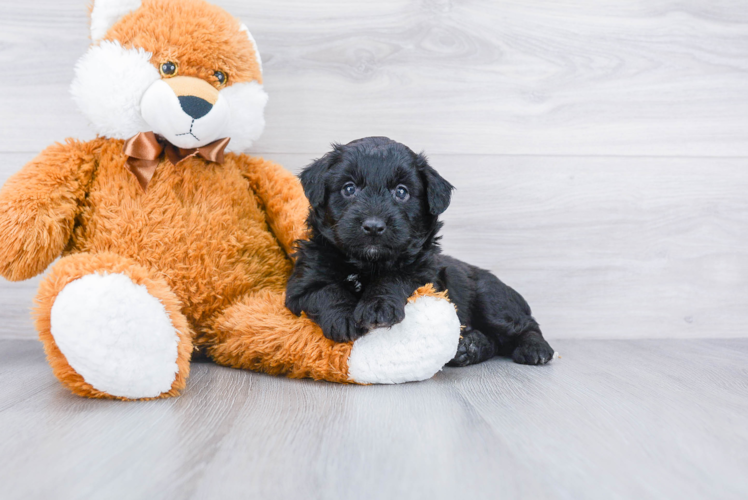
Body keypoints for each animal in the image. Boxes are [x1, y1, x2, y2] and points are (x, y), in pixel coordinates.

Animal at [286, 139, 556, 366]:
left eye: (401, 192)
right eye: (349, 188)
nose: (373, 226)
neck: (367, 264)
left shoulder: (425, 276)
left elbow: (395, 277)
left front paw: (378, 305)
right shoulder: (301, 286)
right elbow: (326, 290)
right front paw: (344, 317)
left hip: (491, 298)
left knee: (524, 325)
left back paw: (535, 349)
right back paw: (469, 347)